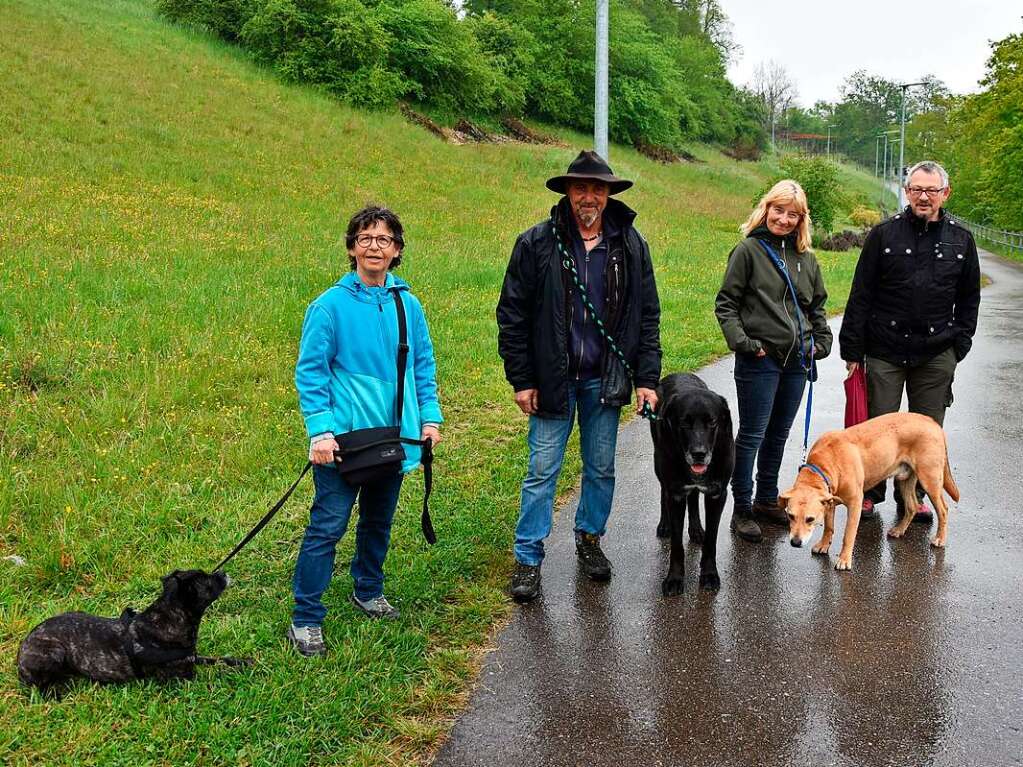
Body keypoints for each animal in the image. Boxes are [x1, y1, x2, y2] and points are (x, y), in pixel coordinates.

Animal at [18, 568, 246, 699]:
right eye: (208, 582)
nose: (223, 572)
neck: (169, 618)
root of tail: (20, 652)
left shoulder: (192, 658)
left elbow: (217, 659)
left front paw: (242, 661)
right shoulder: (181, 680)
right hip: (55, 652)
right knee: (40, 687)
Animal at [650, 376, 732, 597]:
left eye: (712, 422)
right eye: (684, 423)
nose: (699, 453)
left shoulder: (717, 493)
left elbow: (711, 539)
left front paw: (709, 574)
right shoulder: (676, 493)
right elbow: (676, 545)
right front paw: (674, 579)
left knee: (694, 498)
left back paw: (695, 529)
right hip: (659, 464)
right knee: (663, 491)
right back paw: (664, 524)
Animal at [781, 415, 957, 572]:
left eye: (810, 519)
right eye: (790, 516)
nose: (795, 542)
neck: (826, 464)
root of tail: (932, 422)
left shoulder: (855, 504)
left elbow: (848, 535)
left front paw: (844, 559)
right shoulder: (829, 502)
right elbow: (829, 527)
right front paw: (824, 545)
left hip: (930, 480)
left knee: (943, 510)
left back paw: (940, 538)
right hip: (904, 480)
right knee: (912, 506)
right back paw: (899, 530)